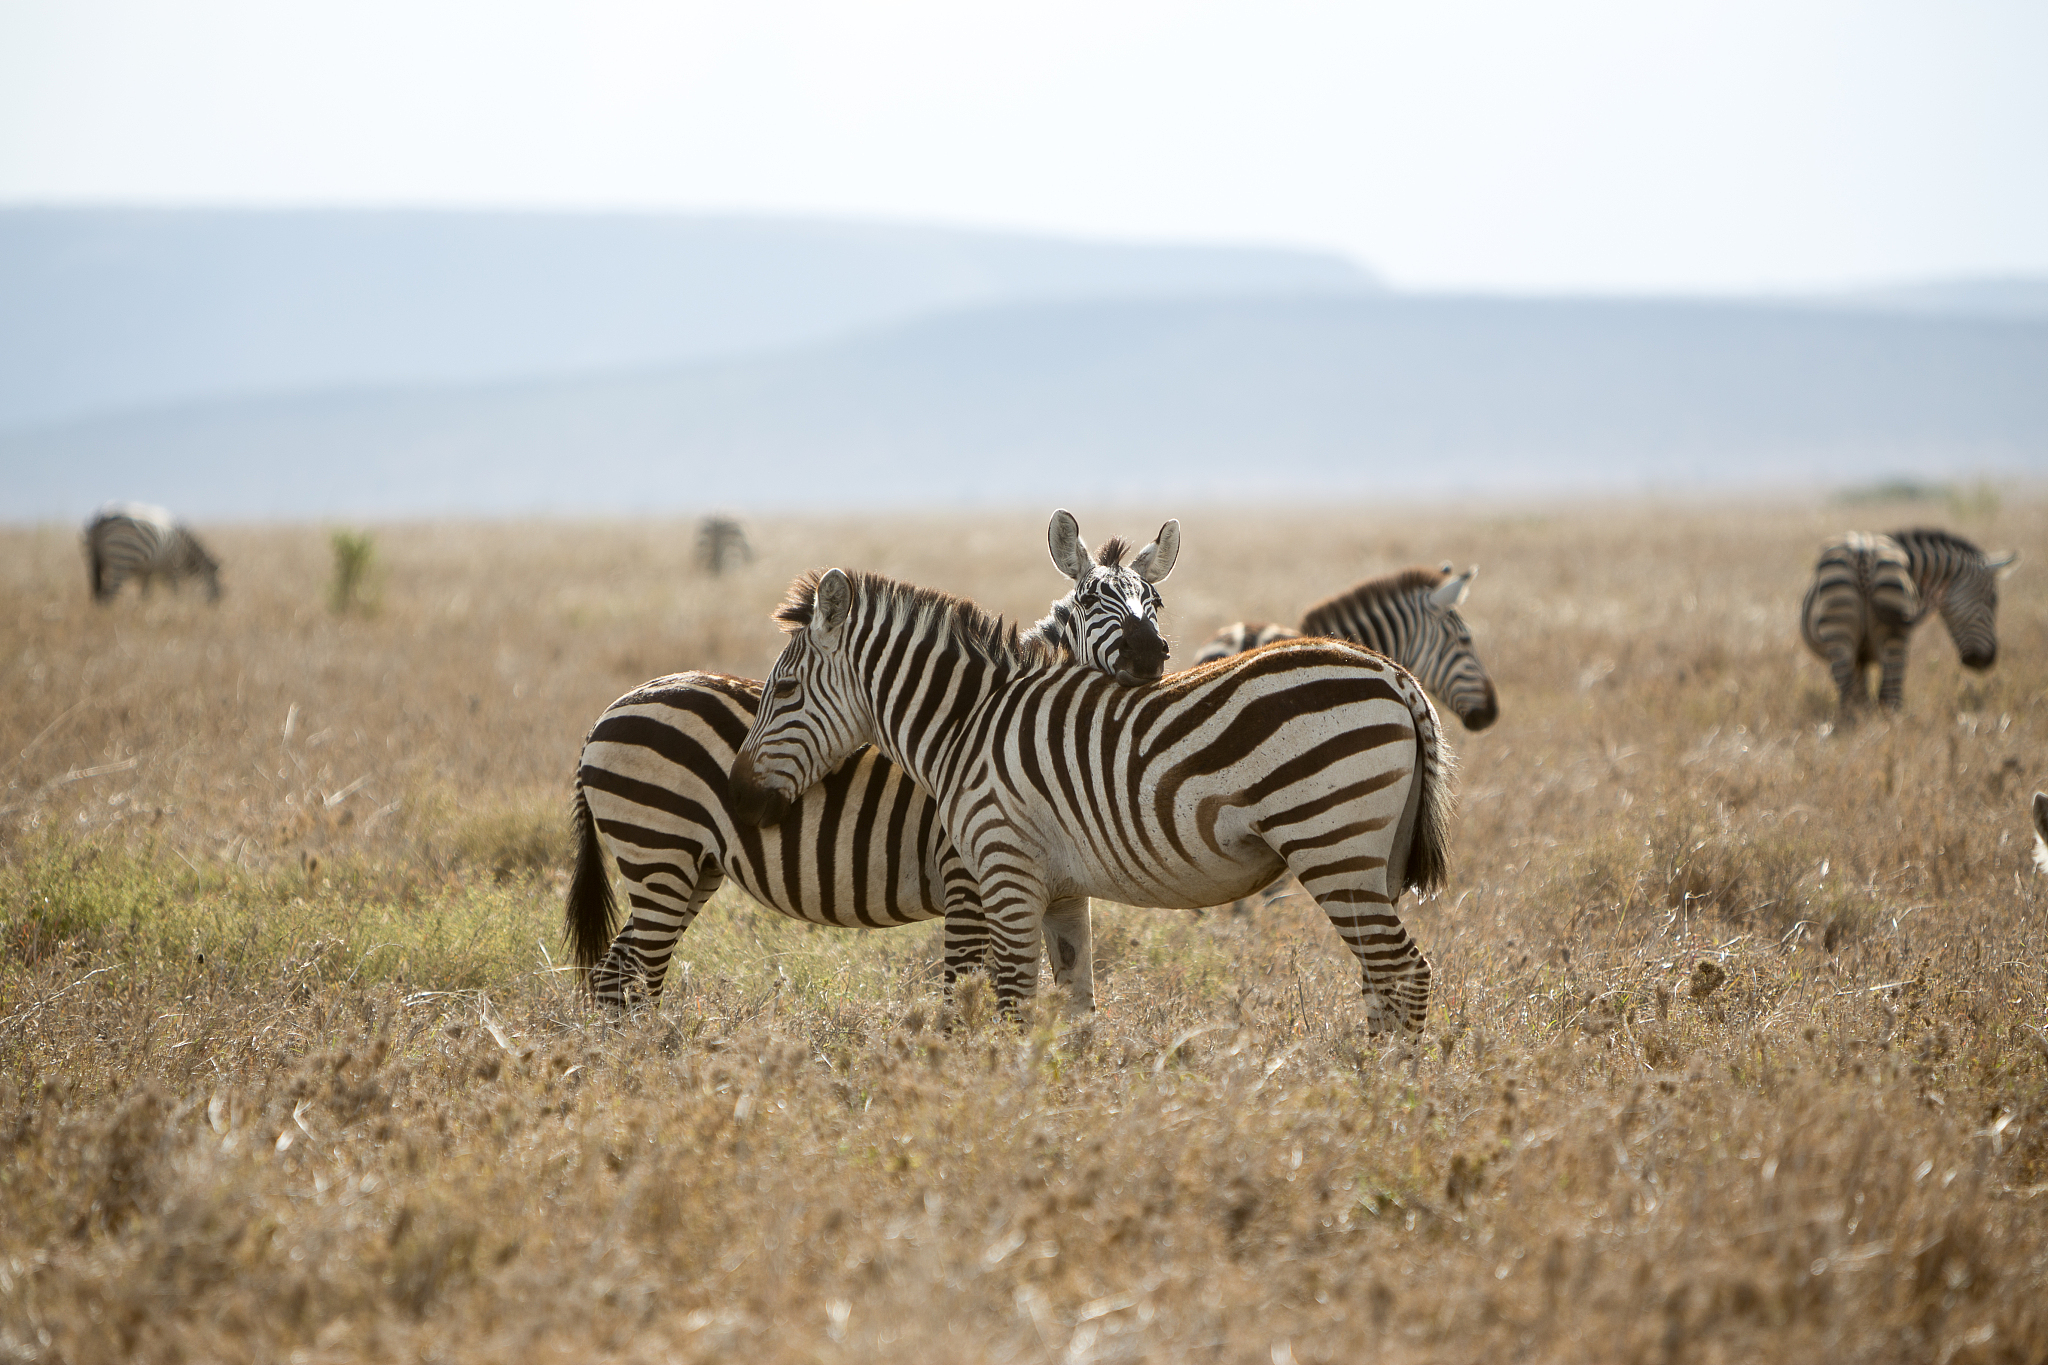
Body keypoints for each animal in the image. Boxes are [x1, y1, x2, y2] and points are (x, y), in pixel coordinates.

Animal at [83, 502, 221, 603]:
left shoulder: (146, 570)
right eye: (215, 578)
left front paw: (143, 610)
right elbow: (176, 591)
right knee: (108, 595)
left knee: (98, 594)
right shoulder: (174, 567)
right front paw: (176, 607)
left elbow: (146, 593)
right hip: (122, 558)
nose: (219, 599)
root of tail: (103, 517)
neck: (187, 549)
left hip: (92, 560)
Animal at [565, 511, 1181, 1010]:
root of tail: (607, 713)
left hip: (693, 866)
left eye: (1155, 604)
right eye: (1090, 602)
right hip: (659, 849)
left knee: (623, 971)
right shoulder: (969, 880)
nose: (1149, 654)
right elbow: (964, 991)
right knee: (627, 972)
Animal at [730, 567, 1454, 1035]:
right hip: (1374, 858)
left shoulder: (1005, 869)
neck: (967, 722)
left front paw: (1003, 1106)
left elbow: (1012, 1002)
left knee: (1405, 972)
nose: (738, 799)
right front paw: (1070, 1104)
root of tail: (1395, 676)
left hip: (1333, 845)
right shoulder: (1060, 889)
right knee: (1383, 978)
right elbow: (1076, 1004)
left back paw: (1388, 1095)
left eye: (785, 690)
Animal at [1801, 528, 2016, 712]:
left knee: (1864, 695)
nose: (1986, 660)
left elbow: (1864, 692)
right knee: (1880, 695)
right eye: (1993, 600)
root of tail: (1863, 551)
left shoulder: (1861, 656)